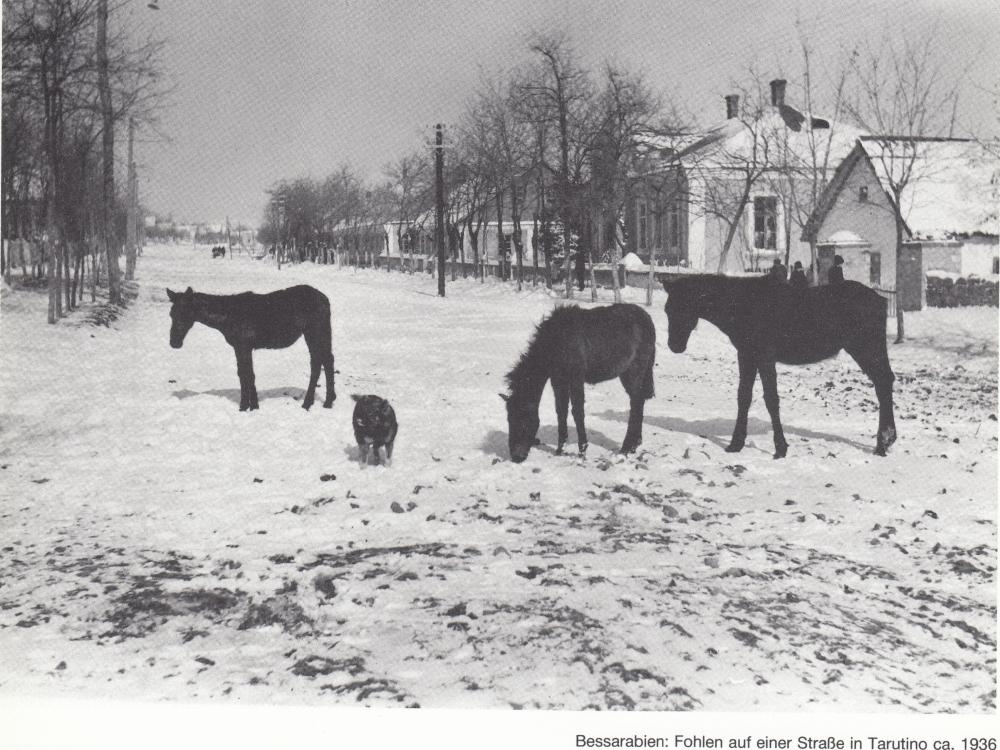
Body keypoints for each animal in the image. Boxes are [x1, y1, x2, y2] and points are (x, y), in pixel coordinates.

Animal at [165, 284, 336, 412]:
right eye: (171, 314)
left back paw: (312, 403)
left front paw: (245, 406)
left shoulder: (243, 346)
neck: (227, 317)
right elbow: (246, 374)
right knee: (325, 361)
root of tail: (326, 299)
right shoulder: (243, 347)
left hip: (315, 332)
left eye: (185, 313)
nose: (174, 343)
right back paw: (327, 400)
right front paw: (253, 405)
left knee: (319, 362)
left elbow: (246, 375)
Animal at [500, 302, 656, 462]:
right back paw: (634, 444)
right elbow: (561, 410)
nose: (516, 457)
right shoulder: (558, 379)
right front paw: (560, 449)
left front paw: (582, 451)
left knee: (636, 404)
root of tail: (646, 318)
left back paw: (626, 447)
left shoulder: (576, 378)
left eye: (524, 419)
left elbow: (577, 411)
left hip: (633, 372)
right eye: (509, 420)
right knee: (638, 403)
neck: (558, 340)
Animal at [664, 276, 900, 458]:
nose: (674, 345)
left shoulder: (765, 357)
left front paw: (780, 448)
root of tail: (880, 300)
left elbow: (771, 399)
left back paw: (883, 442)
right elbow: (744, 397)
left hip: (866, 348)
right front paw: (735, 443)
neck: (742, 306)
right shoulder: (747, 356)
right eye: (667, 309)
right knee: (883, 383)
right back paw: (885, 441)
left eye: (683, 306)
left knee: (883, 382)